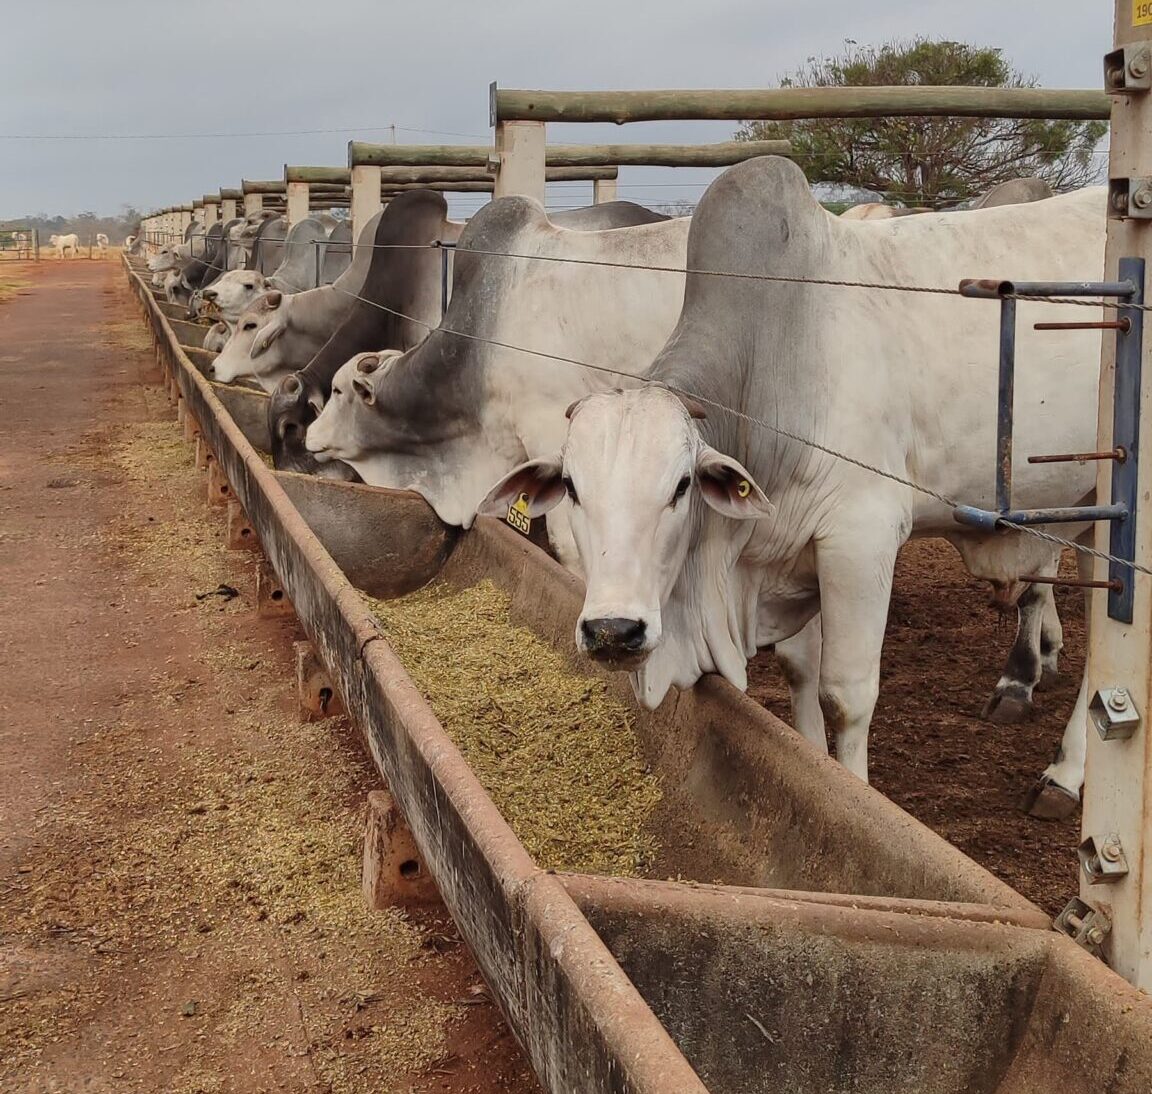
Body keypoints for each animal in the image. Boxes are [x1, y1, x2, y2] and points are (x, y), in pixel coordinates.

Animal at [479, 156, 1105, 806]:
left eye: (680, 487)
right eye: (574, 488)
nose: (612, 631)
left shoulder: (861, 541)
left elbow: (846, 696)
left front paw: (852, 792)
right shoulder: (793, 553)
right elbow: (799, 670)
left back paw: (1064, 773)